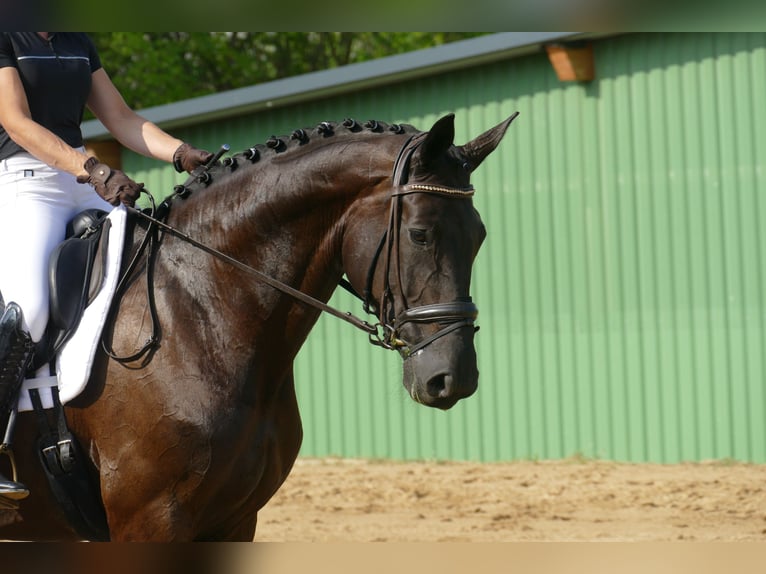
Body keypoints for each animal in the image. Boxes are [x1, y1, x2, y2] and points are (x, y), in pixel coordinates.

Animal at [0, 111, 520, 540]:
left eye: (480, 236)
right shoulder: (150, 519)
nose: (453, 377)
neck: (197, 313)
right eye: (420, 234)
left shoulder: (234, 521)